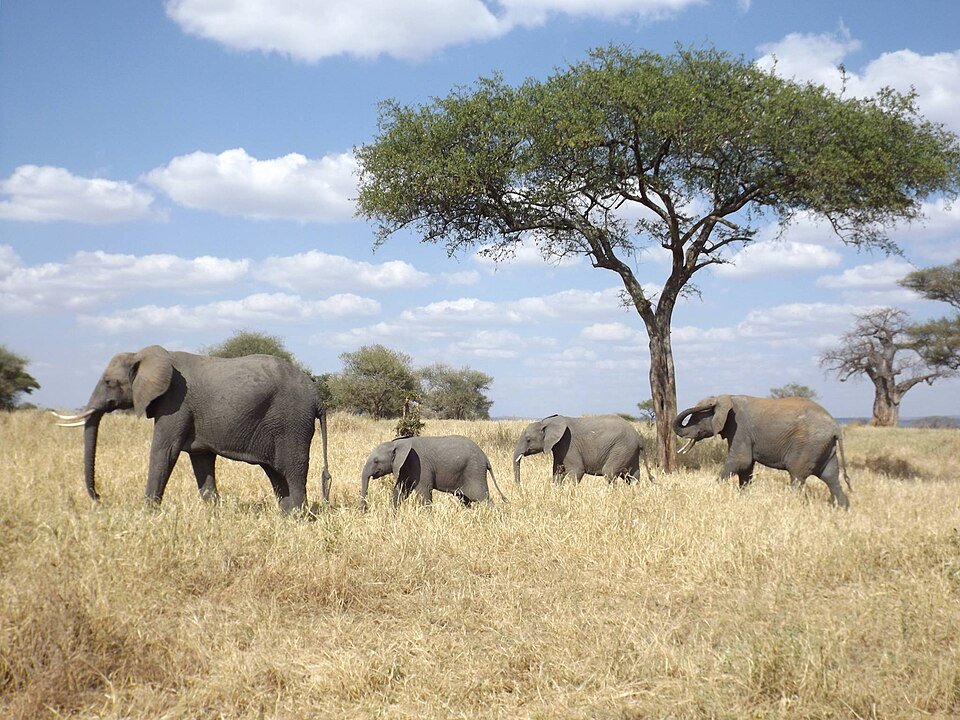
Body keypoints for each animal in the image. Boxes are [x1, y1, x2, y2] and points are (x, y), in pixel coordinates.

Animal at [53, 345, 331, 512]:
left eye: (110, 382)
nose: (99, 498)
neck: (144, 356)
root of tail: (316, 396)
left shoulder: (175, 403)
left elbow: (164, 451)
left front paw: (148, 514)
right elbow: (201, 459)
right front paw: (213, 514)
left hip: (292, 422)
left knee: (293, 469)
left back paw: (298, 517)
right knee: (275, 472)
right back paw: (286, 515)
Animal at [359, 435, 506, 509]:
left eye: (376, 461)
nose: (365, 510)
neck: (397, 444)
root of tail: (486, 458)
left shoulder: (420, 465)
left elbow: (424, 492)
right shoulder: (404, 467)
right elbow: (400, 491)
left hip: (474, 471)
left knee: (482, 498)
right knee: (465, 499)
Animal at [513, 414, 654, 484]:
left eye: (528, 439)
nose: (520, 487)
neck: (547, 422)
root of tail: (638, 437)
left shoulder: (569, 445)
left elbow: (577, 471)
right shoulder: (558, 448)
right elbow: (557, 472)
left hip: (621, 448)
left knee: (609, 472)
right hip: (630, 451)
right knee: (633, 476)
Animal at [672, 395, 851, 508]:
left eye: (697, 417)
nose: (709, 403)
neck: (727, 398)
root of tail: (836, 428)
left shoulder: (740, 428)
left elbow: (740, 461)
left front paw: (713, 489)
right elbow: (746, 467)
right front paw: (742, 496)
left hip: (808, 446)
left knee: (797, 476)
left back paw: (792, 505)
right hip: (824, 447)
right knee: (831, 477)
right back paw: (841, 510)